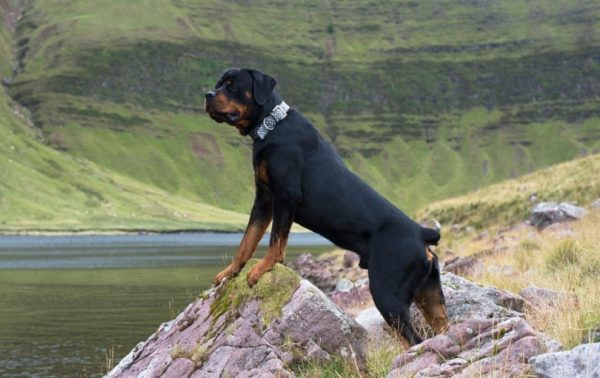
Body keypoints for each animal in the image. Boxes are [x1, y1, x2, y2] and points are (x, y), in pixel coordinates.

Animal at [204, 67, 448, 346]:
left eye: (232, 85)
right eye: (218, 84)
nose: (208, 94)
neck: (271, 125)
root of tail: (421, 233)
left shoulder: (285, 196)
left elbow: (276, 241)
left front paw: (262, 268)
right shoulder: (263, 200)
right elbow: (247, 242)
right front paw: (229, 272)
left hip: (387, 294)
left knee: (413, 339)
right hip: (430, 296)